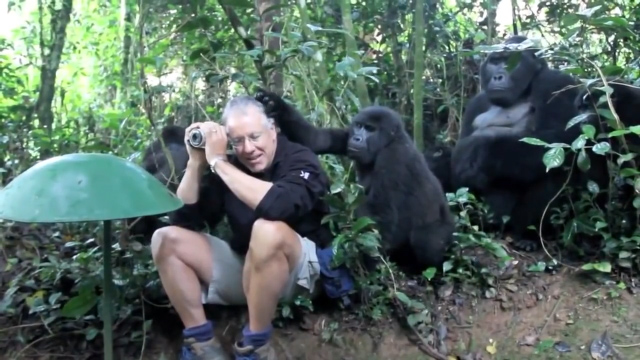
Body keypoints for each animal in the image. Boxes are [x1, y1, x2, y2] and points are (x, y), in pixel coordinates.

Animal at [255, 89, 456, 272]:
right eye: (359, 126)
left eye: (371, 129)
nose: (357, 138)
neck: (390, 141)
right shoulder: (347, 135)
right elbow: (317, 139)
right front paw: (274, 104)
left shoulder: (393, 158)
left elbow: (381, 218)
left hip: (447, 234)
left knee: (425, 240)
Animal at [450, 35, 584, 252]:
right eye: (495, 61)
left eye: (509, 61)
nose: (497, 76)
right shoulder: (476, 103)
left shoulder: (556, 82)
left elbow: (561, 138)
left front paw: (480, 150)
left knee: (554, 167)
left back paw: (528, 235)